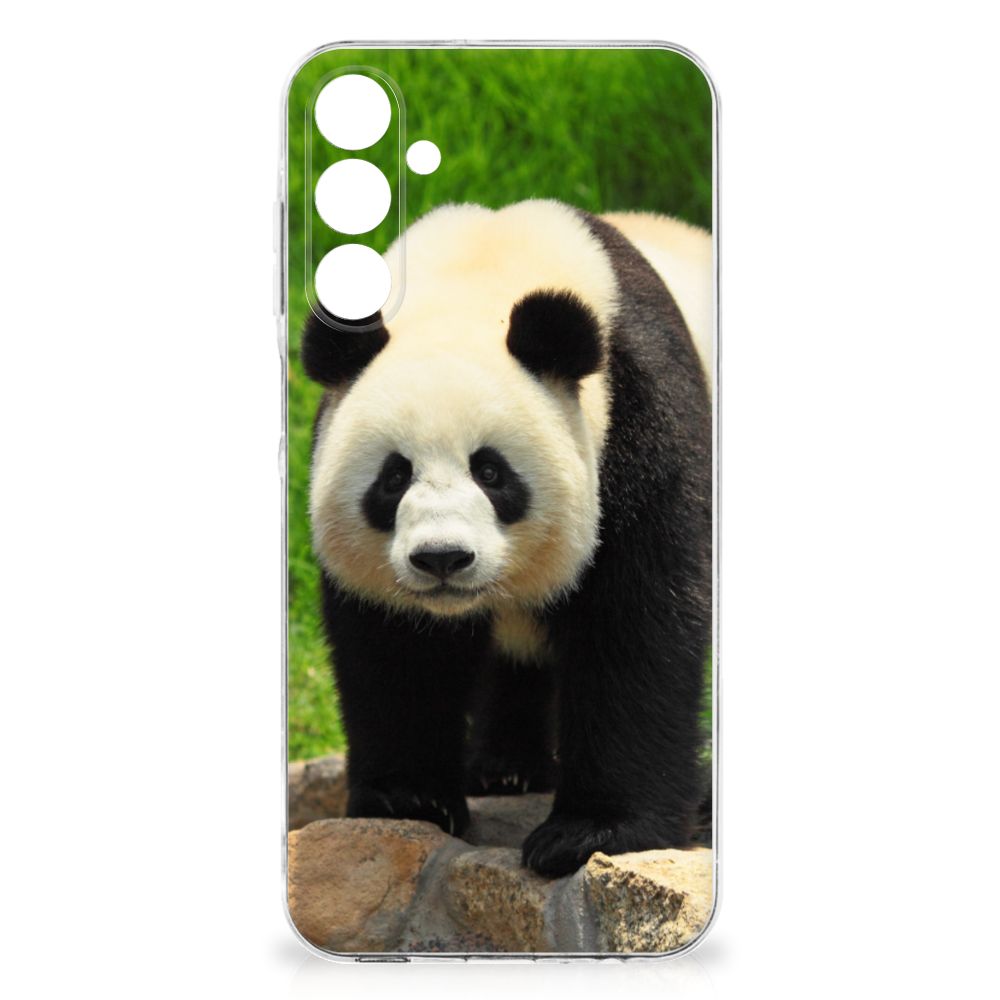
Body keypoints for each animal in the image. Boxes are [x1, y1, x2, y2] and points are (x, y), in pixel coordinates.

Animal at [301, 199, 713, 877]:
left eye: (491, 472)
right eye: (393, 477)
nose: (442, 558)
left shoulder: (641, 420)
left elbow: (638, 623)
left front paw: (590, 833)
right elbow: (396, 648)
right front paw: (408, 799)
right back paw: (505, 769)